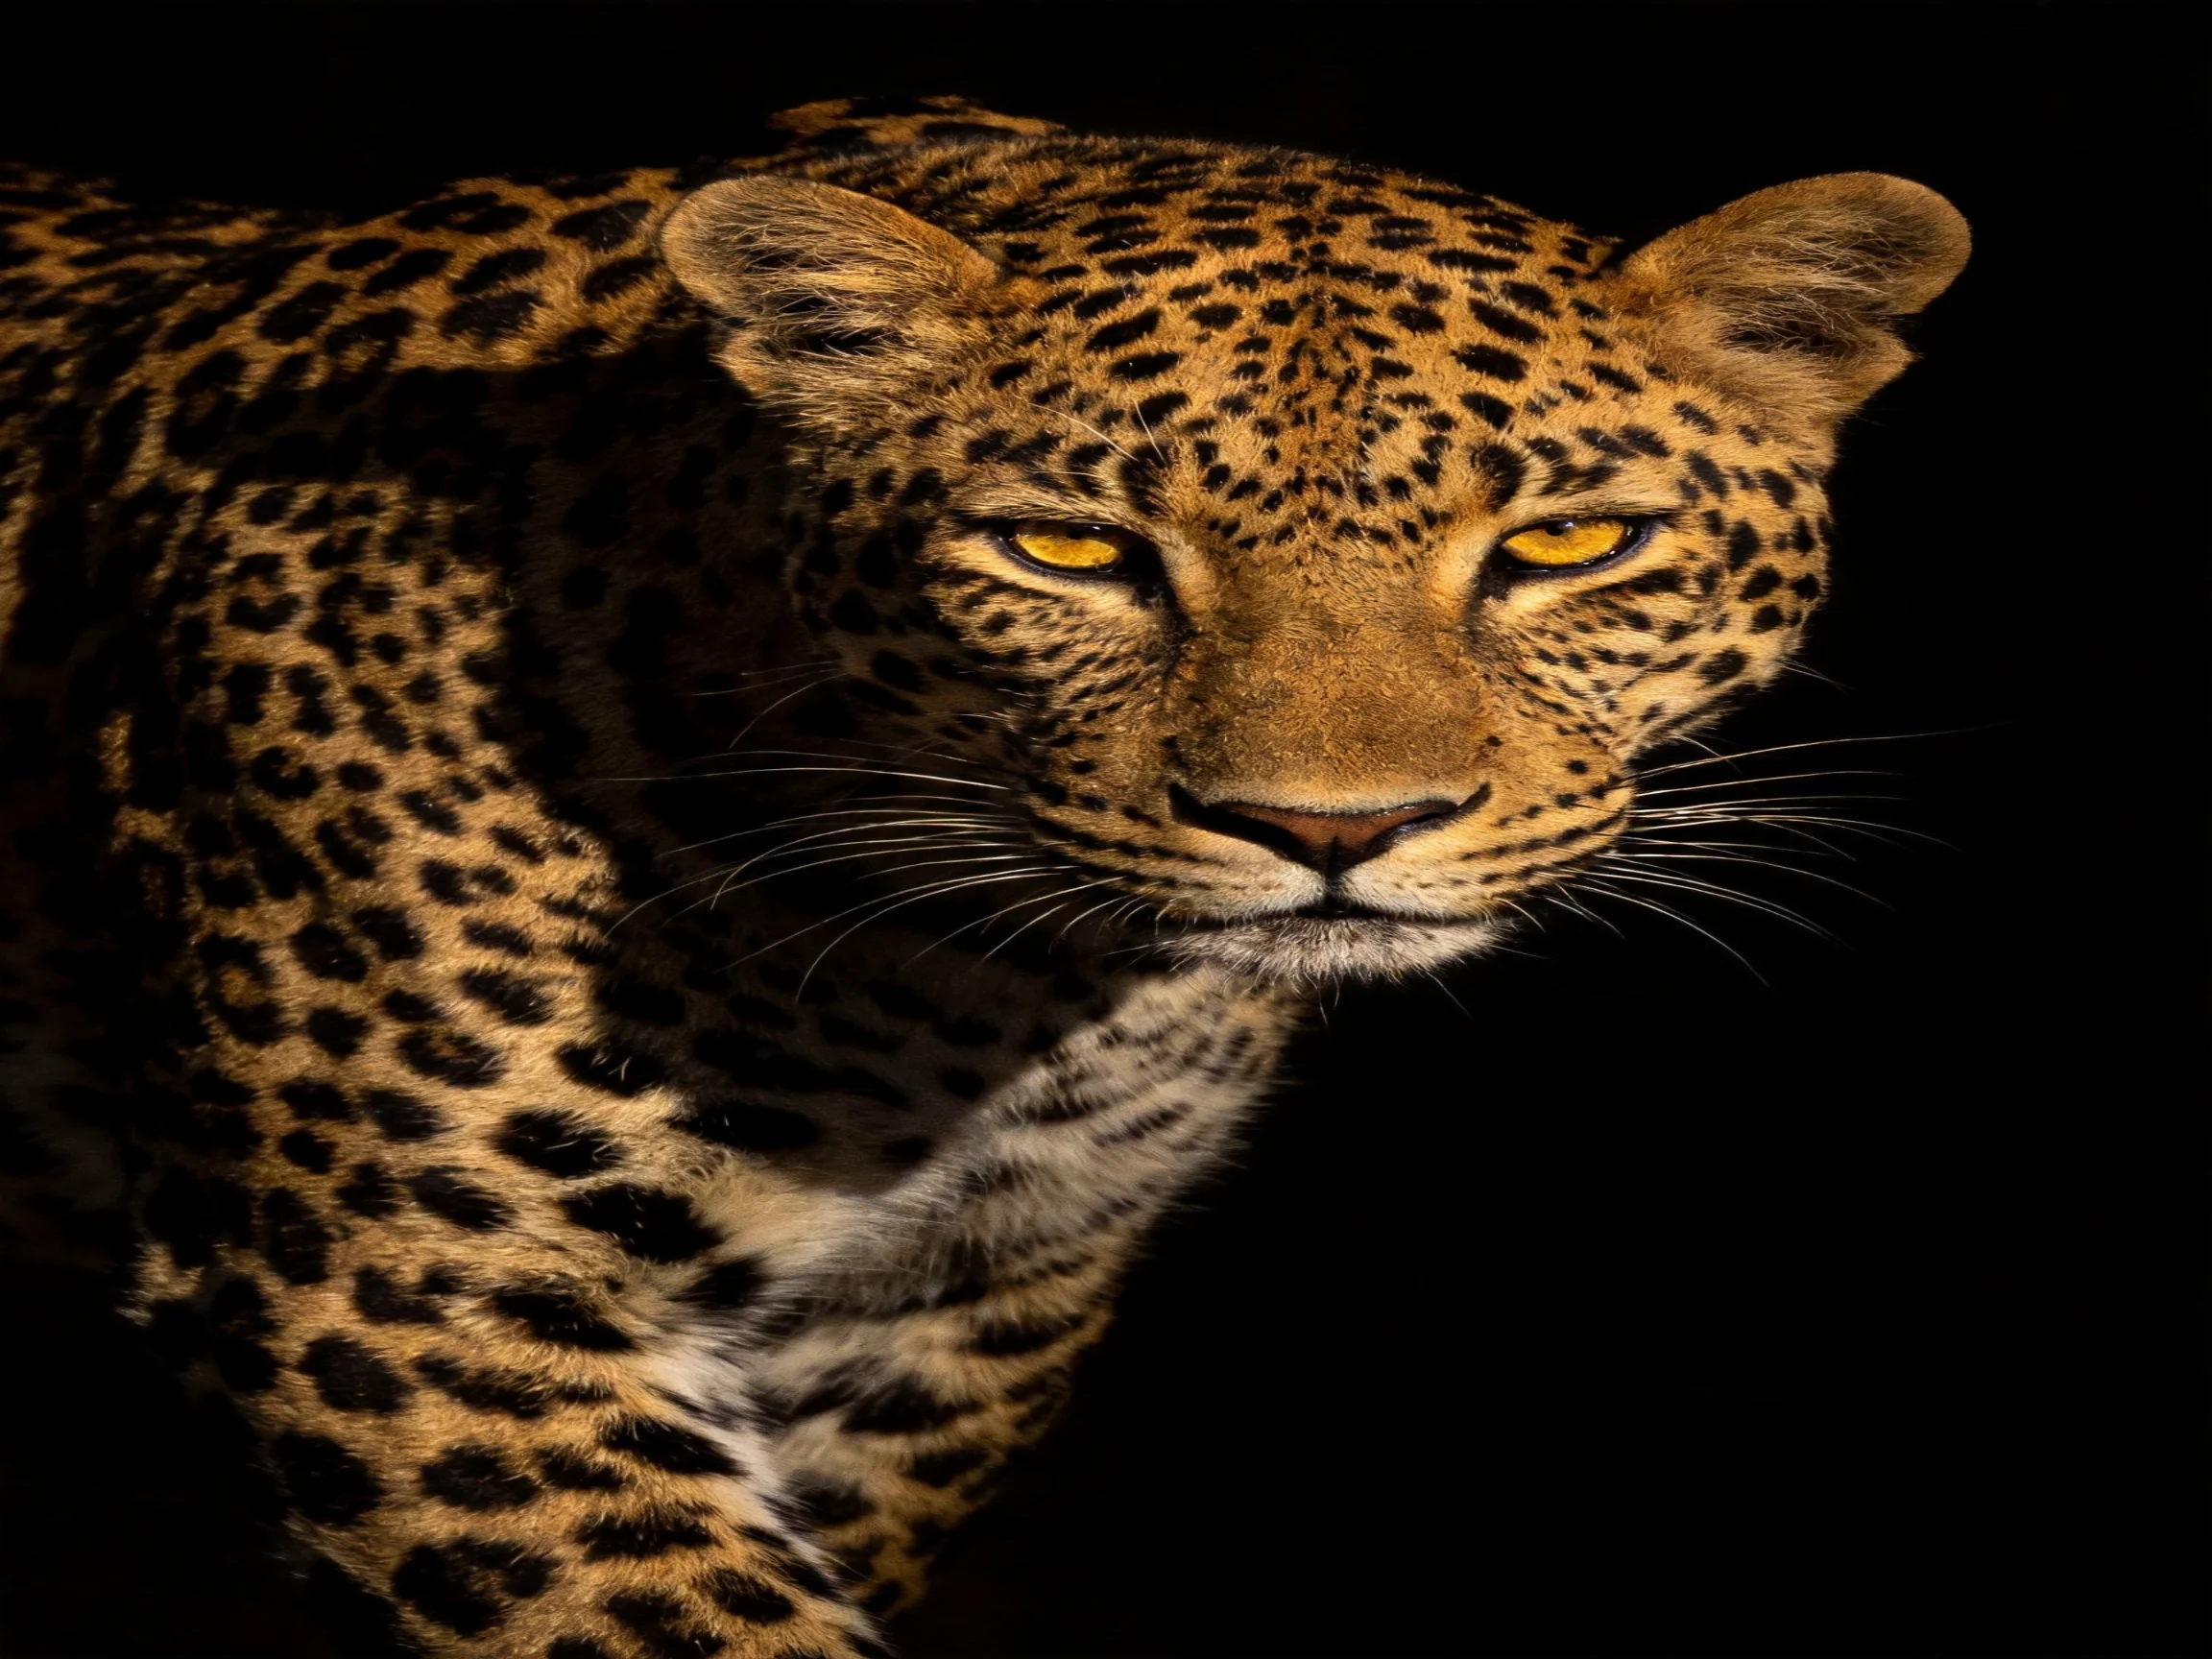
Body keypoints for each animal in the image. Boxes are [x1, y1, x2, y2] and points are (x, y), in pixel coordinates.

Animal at [0, 93, 1967, 1658]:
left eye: (1568, 543)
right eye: (1068, 551)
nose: (1334, 832)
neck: (989, 985)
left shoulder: (959, 1300)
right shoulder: (413, 1283)